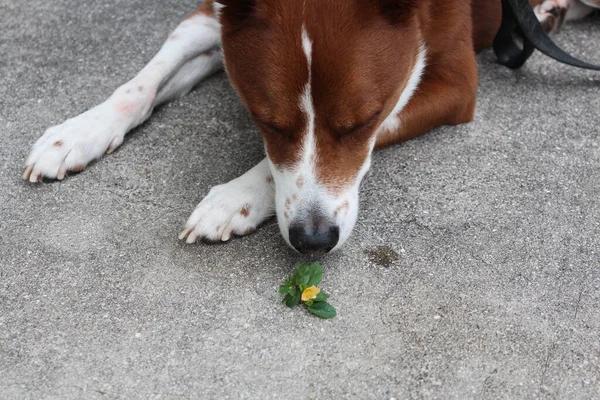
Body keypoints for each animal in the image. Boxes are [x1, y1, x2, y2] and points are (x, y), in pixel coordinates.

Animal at [21, 0, 596, 253]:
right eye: (264, 120)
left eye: (361, 122)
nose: (314, 239)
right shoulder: (215, 13)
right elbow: (145, 81)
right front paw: (81, 131)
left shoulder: (455, 83)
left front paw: (239, 195)